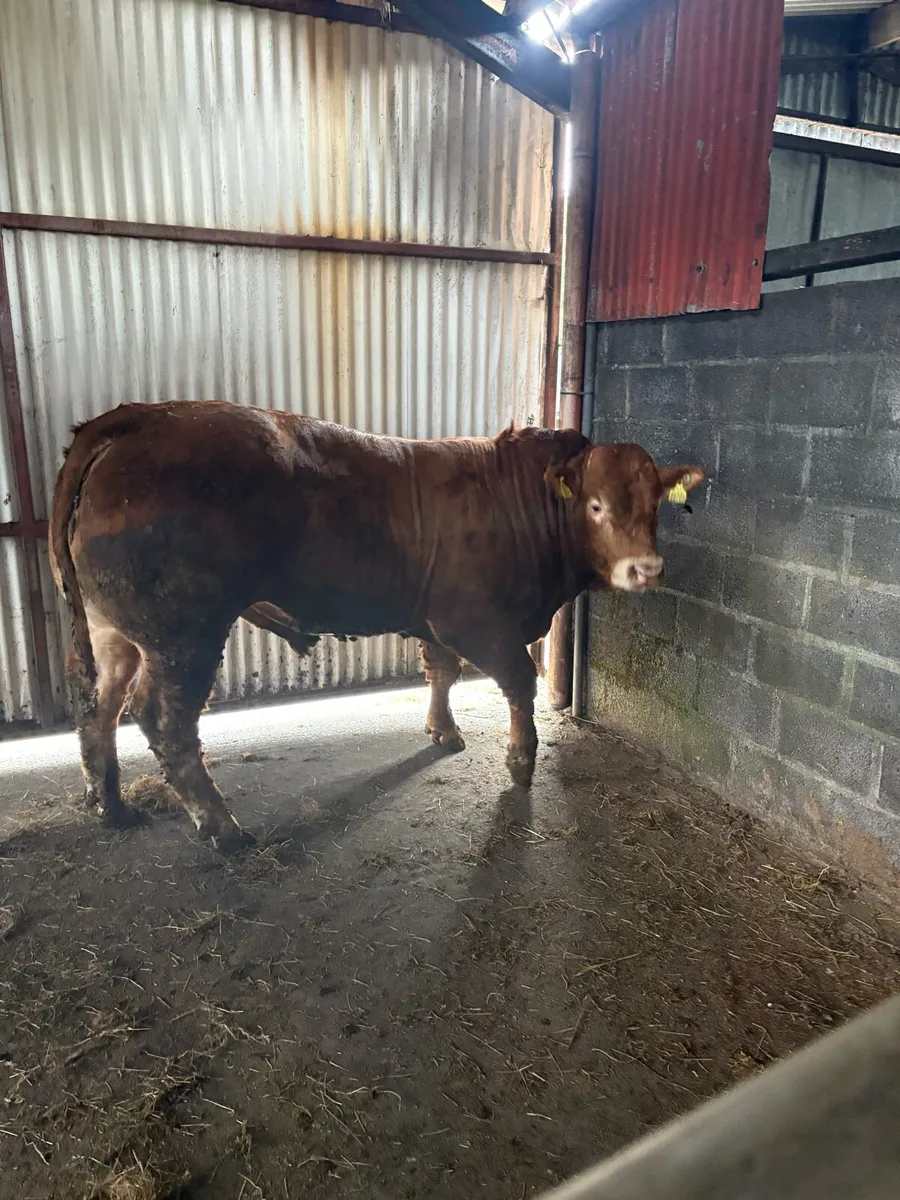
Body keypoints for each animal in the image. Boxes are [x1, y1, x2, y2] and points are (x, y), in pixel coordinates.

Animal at [49, 401, 704, 852]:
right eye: (595, 505)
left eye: (655, 503)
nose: (646, 568)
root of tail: (140, 416)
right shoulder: (476, 621)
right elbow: (519, 683)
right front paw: (521, 762)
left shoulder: (434, 620)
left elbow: (439, 672)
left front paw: (443, 731)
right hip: (183, 633)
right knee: (164, 719)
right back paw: (223, 827)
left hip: (114, 630)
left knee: (98, 703)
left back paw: (110, 804)